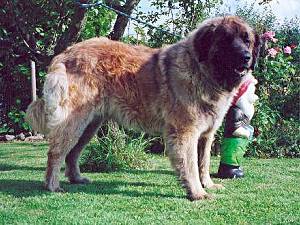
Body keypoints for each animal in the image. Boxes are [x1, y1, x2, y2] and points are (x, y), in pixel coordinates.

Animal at [25, 15, 260, 200]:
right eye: (226, 40)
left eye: (246, 40)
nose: (246, 57)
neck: (202, 70)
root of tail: (65, 53)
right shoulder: (185, 132)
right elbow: (191, 164)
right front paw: (197, 192)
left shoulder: (206, 134)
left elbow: (204, 162)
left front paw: (208, 184)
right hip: (75, 122)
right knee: (56, 153)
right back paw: (52, 186)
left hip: (89, 124)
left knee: (72, 154)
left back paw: (76, 179)